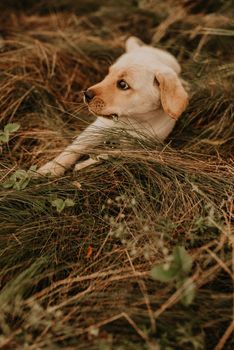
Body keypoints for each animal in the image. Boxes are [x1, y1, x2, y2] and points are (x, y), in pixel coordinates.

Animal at [37, 37, 188, 176]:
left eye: (123, 84)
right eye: (108, 74)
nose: (86, 94)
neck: (133, 119)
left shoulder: (140, 148)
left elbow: (111, 153)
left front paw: (84, 165)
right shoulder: (98, 127)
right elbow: (75, 146)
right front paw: (50, 168)